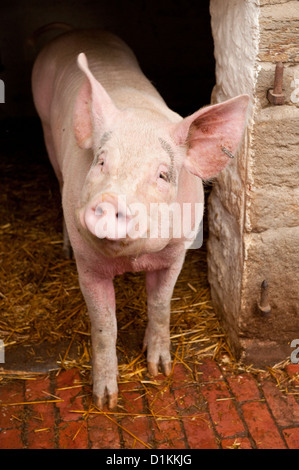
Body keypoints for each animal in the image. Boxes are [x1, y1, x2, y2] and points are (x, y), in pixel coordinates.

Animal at [31, 29, 250, 410]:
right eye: (101, 161)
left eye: (162, 175)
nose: (109, 201)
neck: (133, 260)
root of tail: (65, 29)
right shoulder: (89, 267)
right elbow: (105, 326)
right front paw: (105, 401)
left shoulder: (177, 252)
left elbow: (160, 305)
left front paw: (160, 370)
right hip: (46, 130)